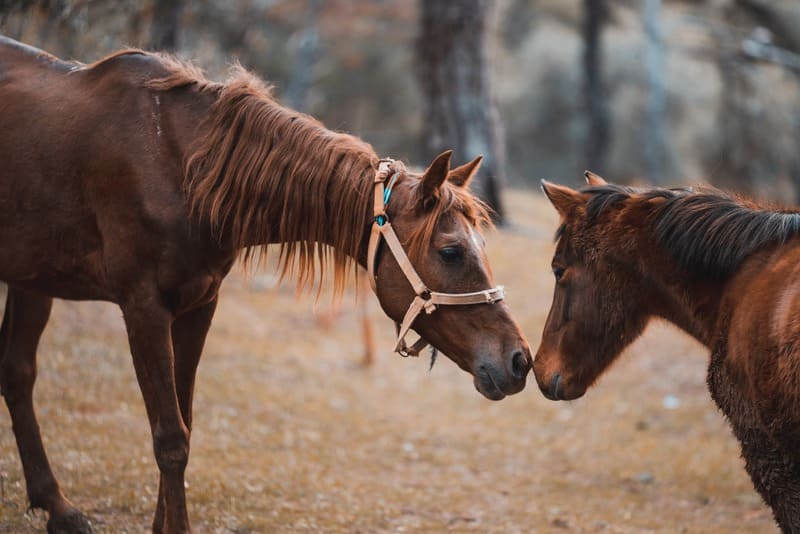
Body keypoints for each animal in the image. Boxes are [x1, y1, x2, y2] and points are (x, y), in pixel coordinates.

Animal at [0, 36, 536, 532]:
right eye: (451, 251)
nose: (519, 360)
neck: (180, 168)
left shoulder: (198, 305)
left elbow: (183, 422)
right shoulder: (143, 307)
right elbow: (170, 437)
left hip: (32, 280)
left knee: (18, 372)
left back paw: (58, 507)